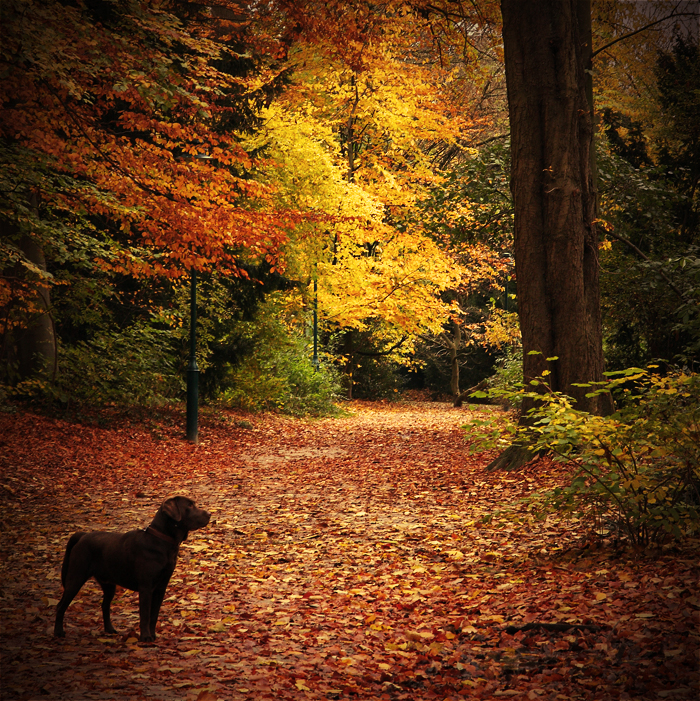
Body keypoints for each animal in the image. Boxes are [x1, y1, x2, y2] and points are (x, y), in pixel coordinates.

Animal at [54, 498, 209, 640]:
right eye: (189, 505)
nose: (209, 514)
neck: (162, 540)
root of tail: (82, 535)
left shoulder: (161, 588)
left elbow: (154, 615)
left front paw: (153, 635)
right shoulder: (146, 587)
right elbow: (145, 614)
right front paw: (146, 637)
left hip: (109, 585)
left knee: (105, 605)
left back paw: (109, 629)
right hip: (76, 578)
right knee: (60, 606)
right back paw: (58, 632)